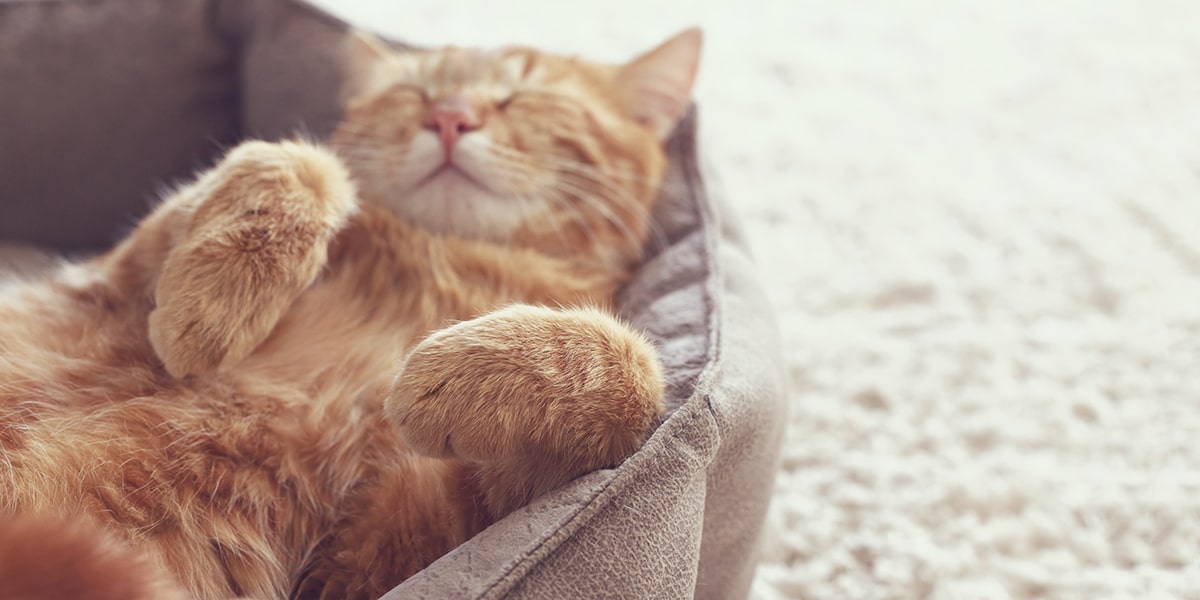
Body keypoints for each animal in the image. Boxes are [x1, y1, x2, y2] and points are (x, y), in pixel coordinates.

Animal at [0, 29, 700, 600]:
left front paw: (454, 369)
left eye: (524, 95)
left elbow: (635, 366)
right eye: (413, 93)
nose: (448, 116)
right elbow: (298, 160)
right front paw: (213, 303)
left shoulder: (387, 544)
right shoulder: (116, 284)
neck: (436, 258)